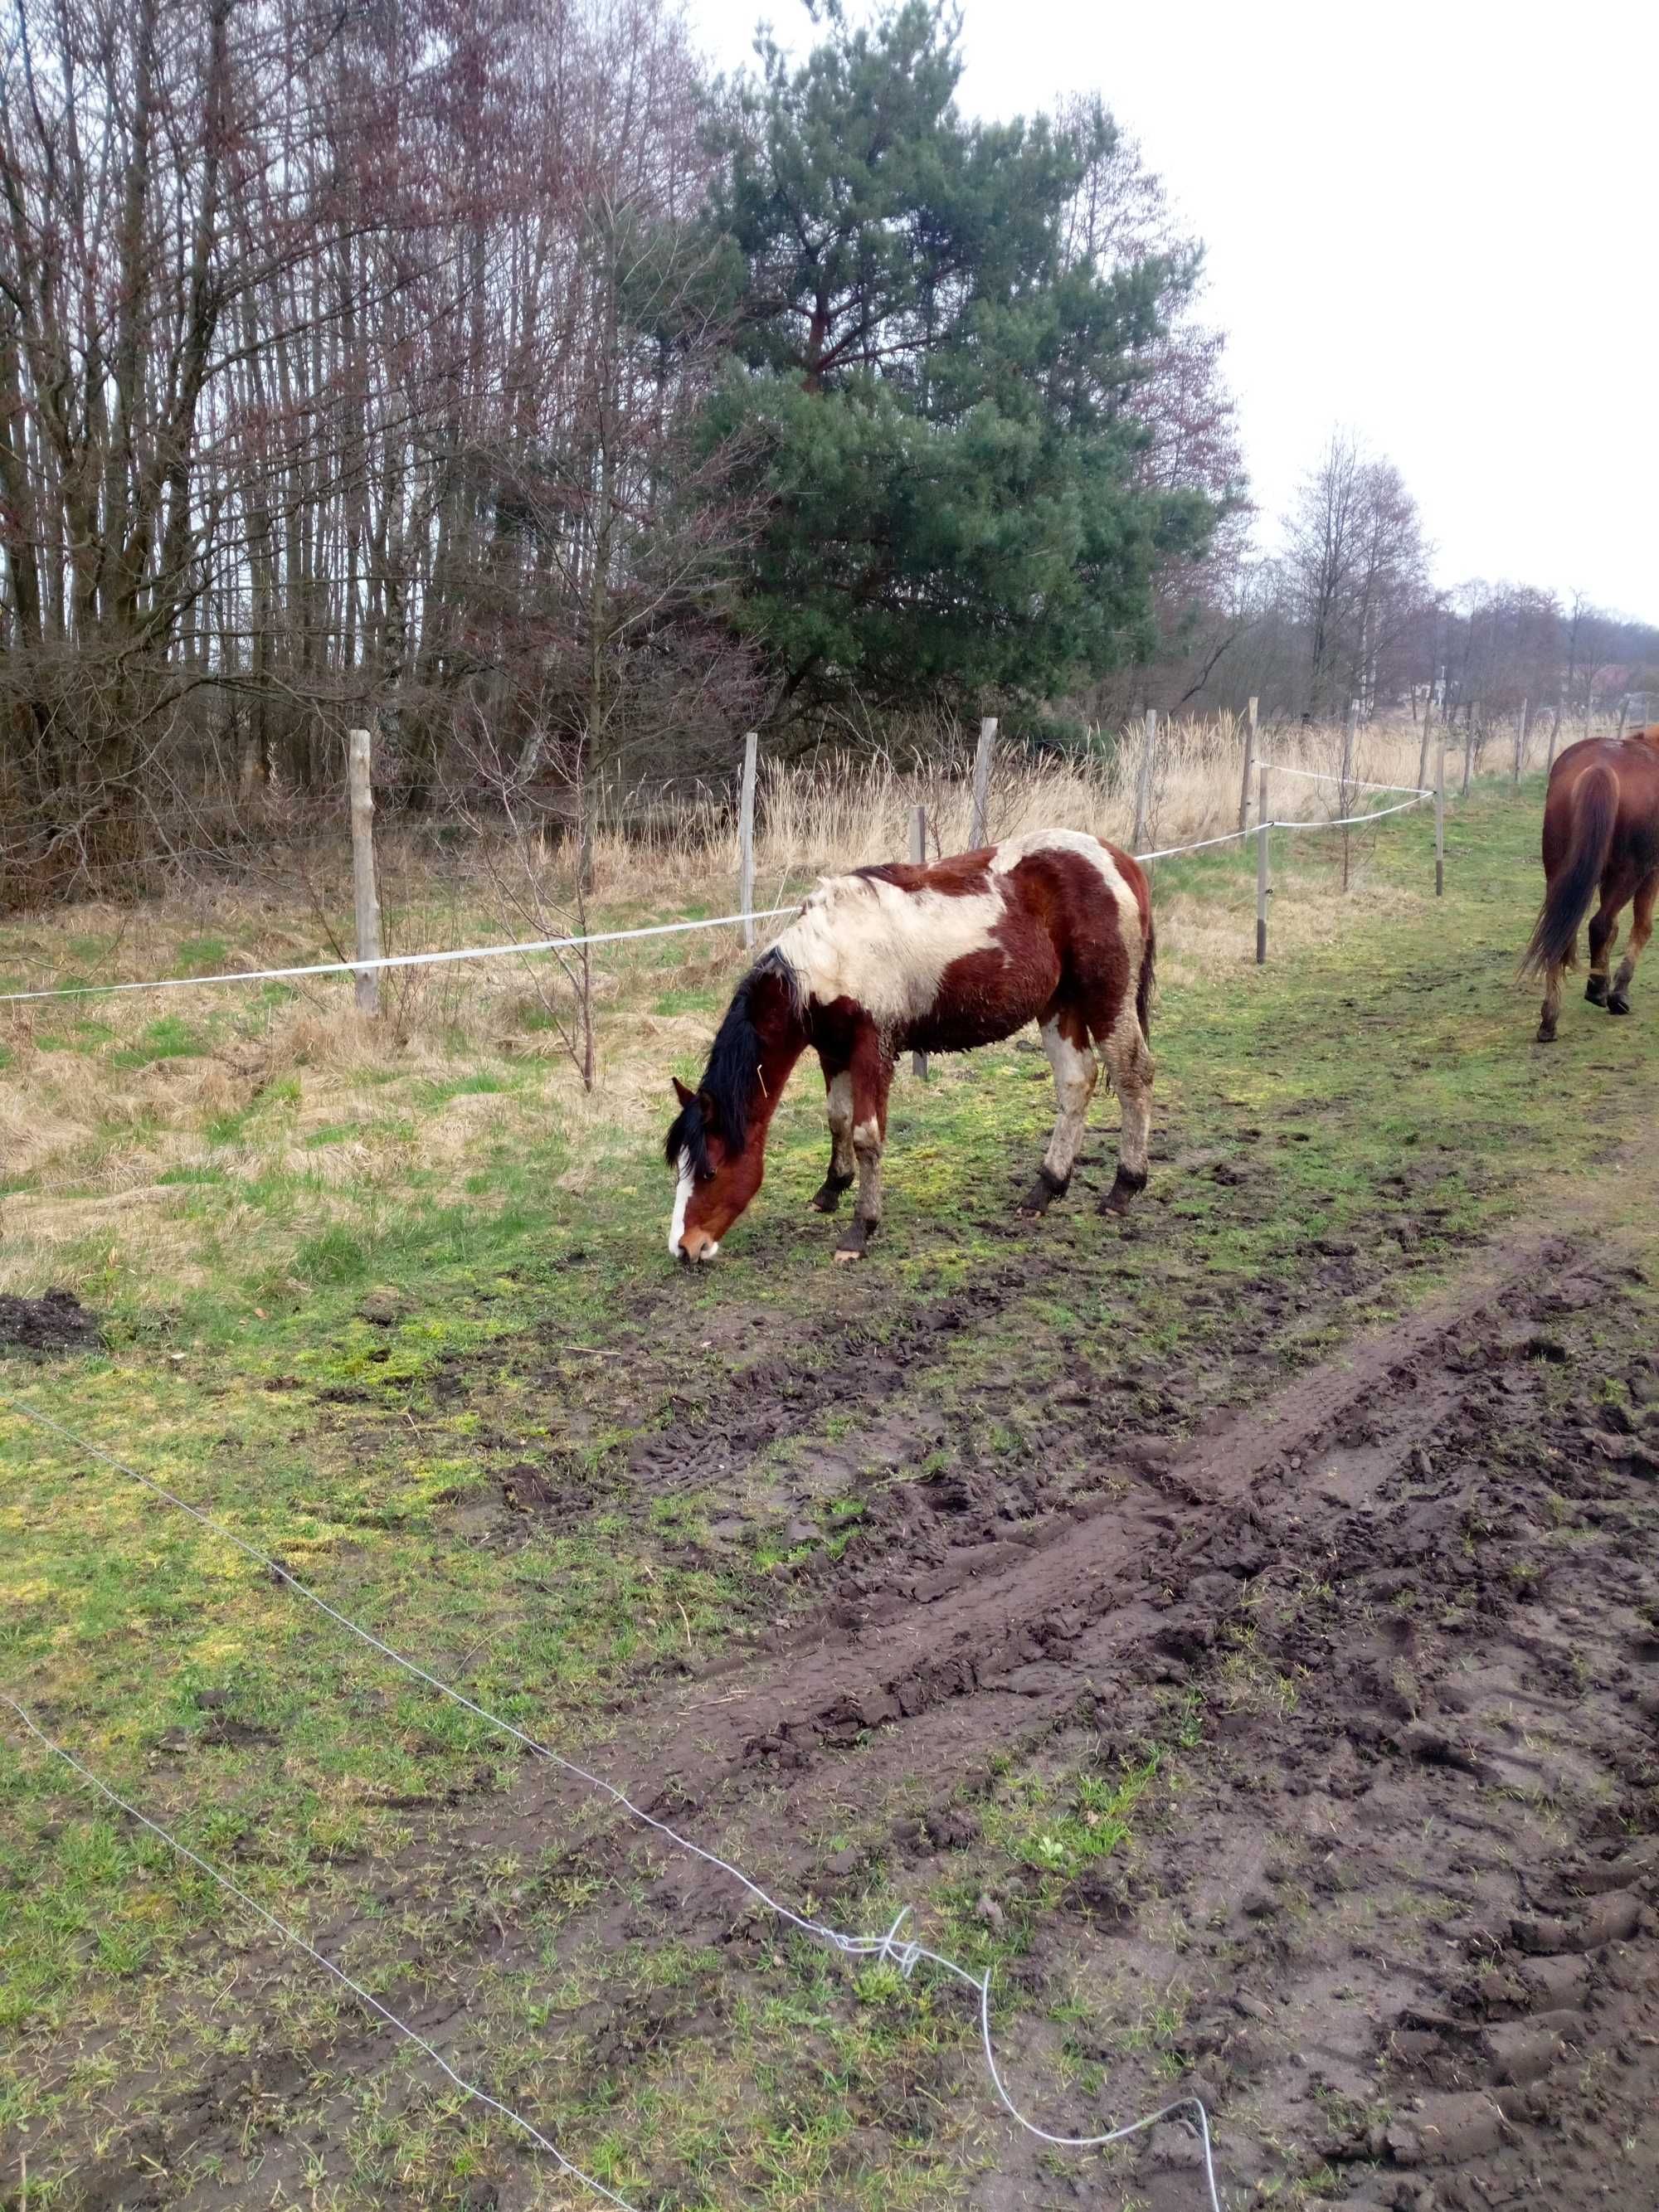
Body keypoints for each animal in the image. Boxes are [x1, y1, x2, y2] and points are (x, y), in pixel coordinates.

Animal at [664, 827, 1159, 1265]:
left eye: (709, 1171)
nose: (685, 1248)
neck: (828, 957)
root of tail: (1120, 860)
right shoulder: (832, 1050)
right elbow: (837, 1119)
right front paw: (831, 1189)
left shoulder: (873, 1048)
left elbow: (866, 1135)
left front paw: (860, 1230)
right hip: (1060, 1003)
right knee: (1076, 1082)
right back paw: (1045, 1190)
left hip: (1106, 997)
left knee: (1133, 1075)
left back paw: (1123, 1188)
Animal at [1530, 721, 1659, 1039]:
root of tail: (1600, 767)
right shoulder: (1652, 872)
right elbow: (1642, 927)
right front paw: (1619, 994)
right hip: (1630, 872)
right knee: (1601, 924)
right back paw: (1599, 990)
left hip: (1560, 873)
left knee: (1562, 932)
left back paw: (1550, 1018)